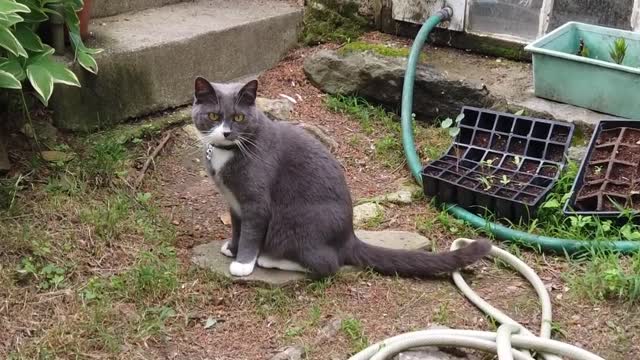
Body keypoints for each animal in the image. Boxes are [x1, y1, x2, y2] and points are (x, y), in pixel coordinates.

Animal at [190, 76, 490, 278]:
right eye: (214, 116)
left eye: (239, 117)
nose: (226, 132)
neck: (227, 152)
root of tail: (348, 236)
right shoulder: (234, 204)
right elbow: (237, 227)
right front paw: (232, 247)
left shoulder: (255, 202)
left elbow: (251, 232)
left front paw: (243, 263)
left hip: (294, 221)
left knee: (328, 263)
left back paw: (271, 260)